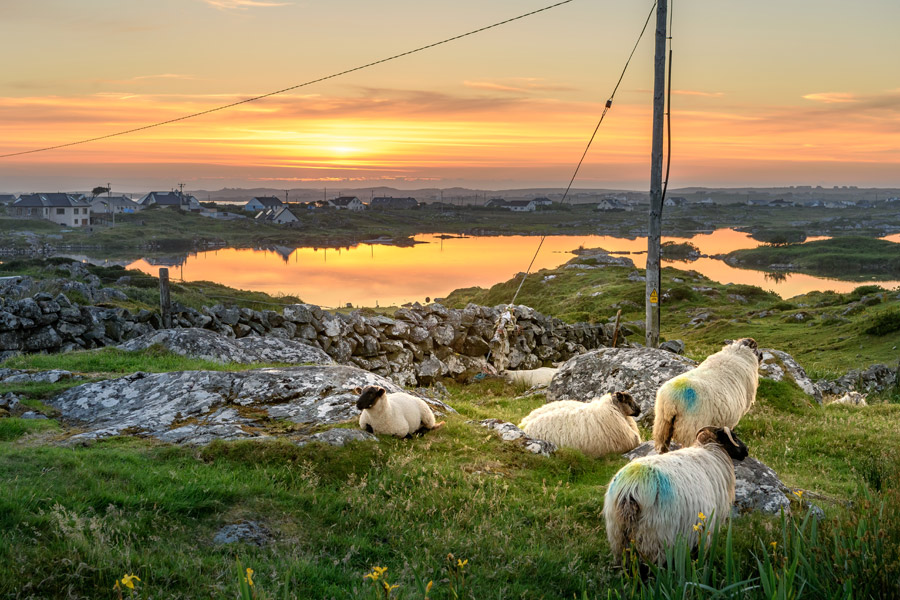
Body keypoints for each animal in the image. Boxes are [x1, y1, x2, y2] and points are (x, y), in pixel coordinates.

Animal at [604, 424, 752, 564]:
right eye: (734, 437)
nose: (746, 450)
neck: (713, 452)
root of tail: (630, 490)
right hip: (655, 534)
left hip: (618, 534)